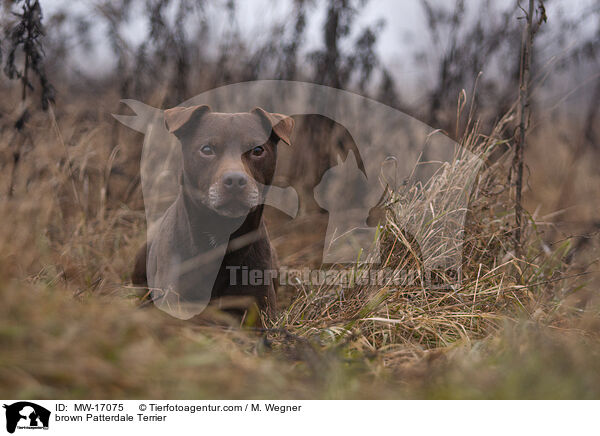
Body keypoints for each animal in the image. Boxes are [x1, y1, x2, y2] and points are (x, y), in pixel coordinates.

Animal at [131, 104, 292, 318]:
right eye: (207, 149)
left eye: (258, 150)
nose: (235, 180)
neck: (221, 232)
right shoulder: (175, 301)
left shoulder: (262, 309)